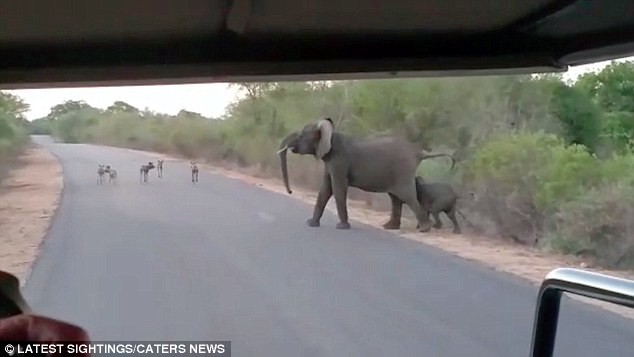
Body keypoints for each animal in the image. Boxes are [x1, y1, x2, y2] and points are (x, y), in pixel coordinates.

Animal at [276, 118, 454, 232]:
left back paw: (424, 229)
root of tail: (418, 152)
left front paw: (342, 227)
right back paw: (390, 227)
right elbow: (325, 190)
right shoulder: (330, 161)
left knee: (407, 196)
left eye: (301, 135)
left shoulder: (339, 161)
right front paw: (311, 224)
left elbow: (338, 188)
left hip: (402, 171)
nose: (290, 191)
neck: (331, 134)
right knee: (396, 198)